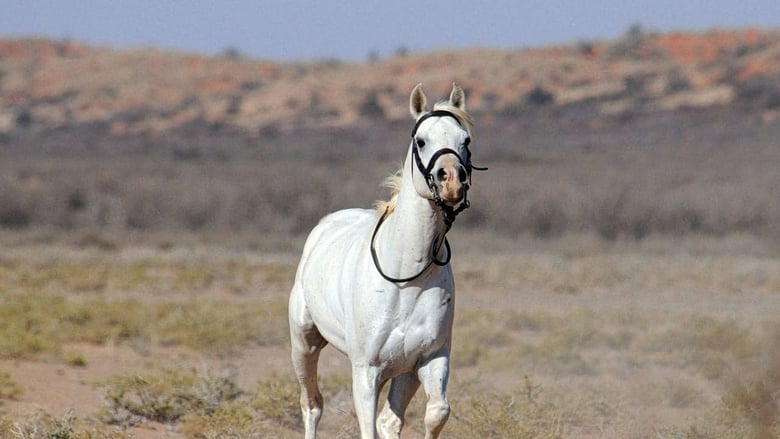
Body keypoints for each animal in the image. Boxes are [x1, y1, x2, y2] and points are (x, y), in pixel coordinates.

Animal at [288, 83, 484, 439]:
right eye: (421, 140)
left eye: (466, 140)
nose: (451, 181)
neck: (408, 278)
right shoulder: (366, 370)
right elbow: (367, 426)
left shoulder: (429, 359)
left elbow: (437, 413)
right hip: (304, 343)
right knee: (311, 405)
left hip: (403, 371)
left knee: (388, 421)